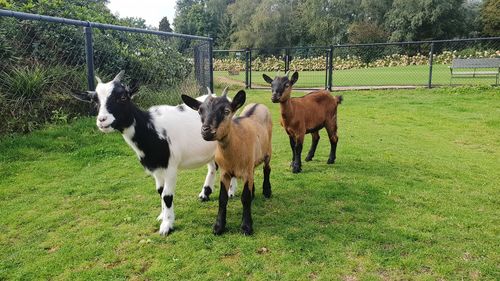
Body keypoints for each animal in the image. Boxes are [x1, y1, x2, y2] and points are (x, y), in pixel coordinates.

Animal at [71, 70, 237, 234]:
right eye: (94, 100)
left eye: (123, 97)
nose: (102, 120)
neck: (152, 129)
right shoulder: (155, 167)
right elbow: (160, 191)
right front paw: (162, 216)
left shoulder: (170, 166)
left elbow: (167, 195)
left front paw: (167, 226)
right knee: (212, 167)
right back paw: (205, 193)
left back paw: (231, 192)